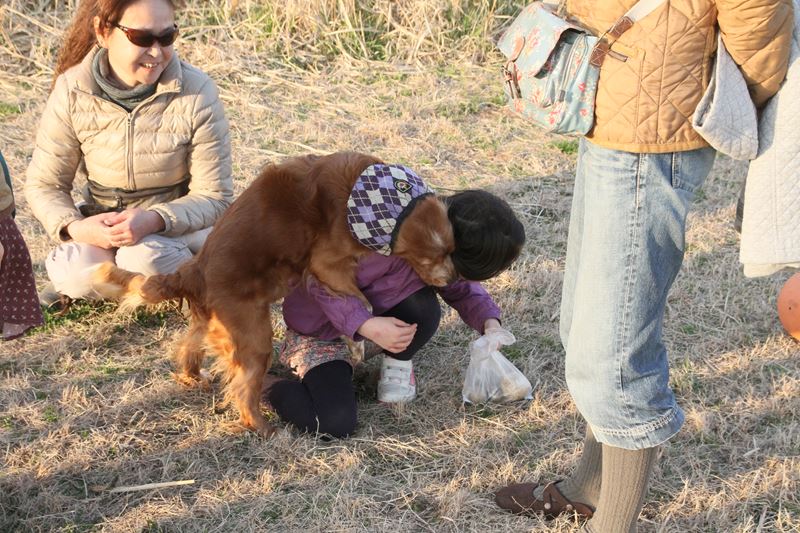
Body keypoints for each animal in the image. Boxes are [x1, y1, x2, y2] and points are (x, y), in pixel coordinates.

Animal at [94, 151, 457, 437]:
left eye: (450, 251)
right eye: (429, 259)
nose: (453, 277)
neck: (361, 197)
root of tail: (193, 272)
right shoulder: (327, 263)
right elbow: (359, 302)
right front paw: (361, 339)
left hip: (210, 325)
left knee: (189, 347)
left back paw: (194, 377)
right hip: (255, 339)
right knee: (242, 390)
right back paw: (264, 427)